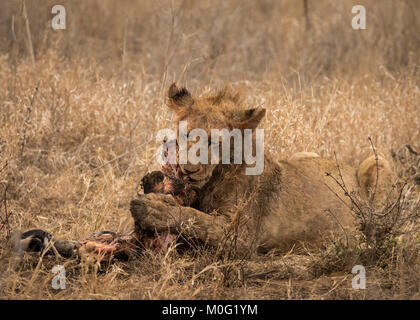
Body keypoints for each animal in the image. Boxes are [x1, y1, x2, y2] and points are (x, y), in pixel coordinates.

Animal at [132, 84, 398, 256]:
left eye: (214, 142)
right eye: (186, 135)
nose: (187, 170)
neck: (216, 177)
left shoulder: (241, 236)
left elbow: (195, 219)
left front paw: (152, 207)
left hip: (378, 162)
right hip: (303, 154)